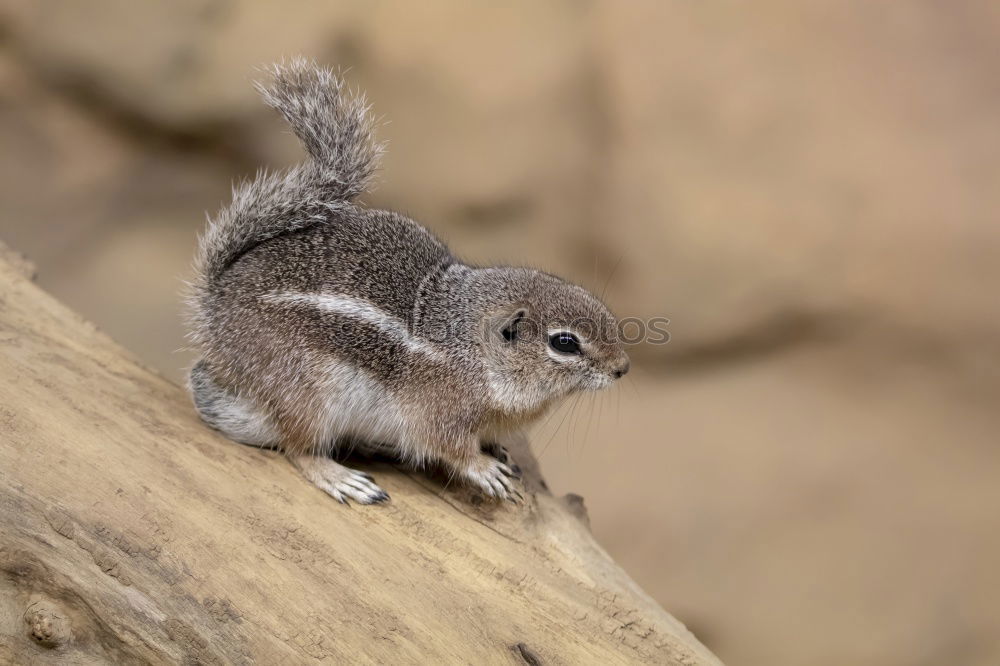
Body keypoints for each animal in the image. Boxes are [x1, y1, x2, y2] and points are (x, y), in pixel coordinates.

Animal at [184, 59, 628, 504]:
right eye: (564, 342)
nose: (622, 368)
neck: (475, 349)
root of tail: (216, 305)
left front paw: (499, 450)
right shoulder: (437, 412)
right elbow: (447, 445)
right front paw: (484, 468)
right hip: (306, 392)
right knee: (298, 448)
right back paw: (341, 477)